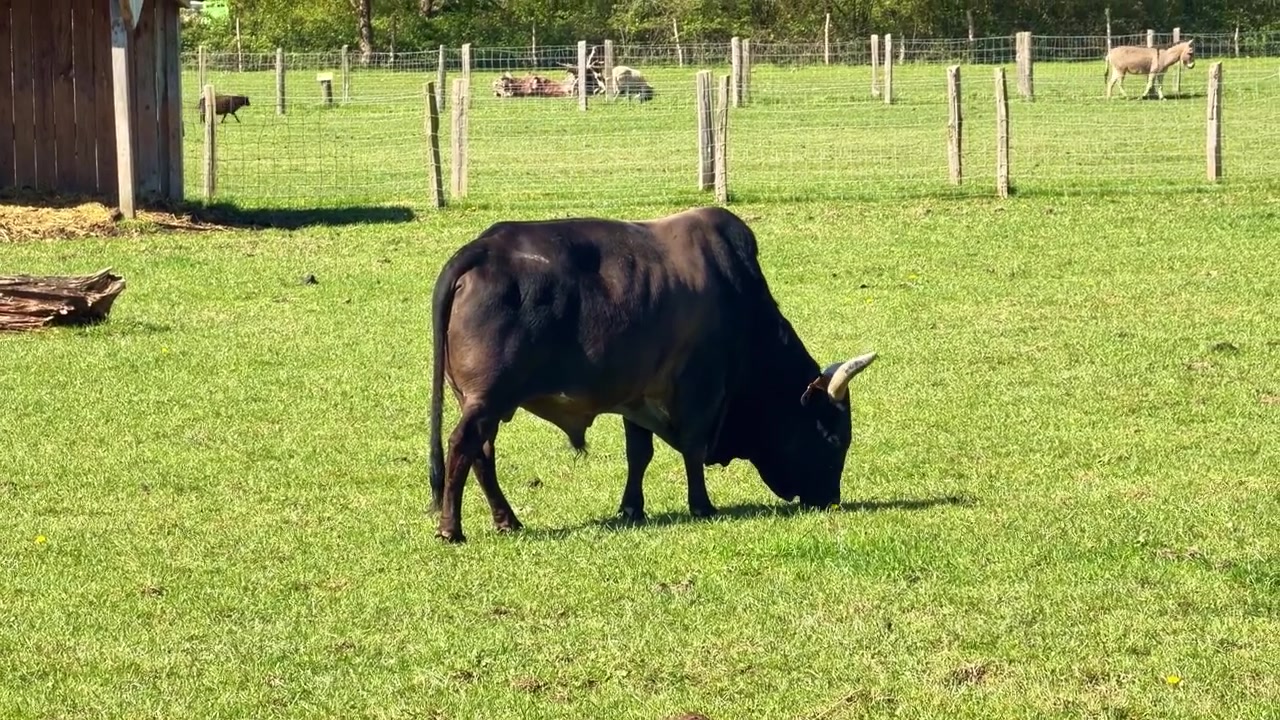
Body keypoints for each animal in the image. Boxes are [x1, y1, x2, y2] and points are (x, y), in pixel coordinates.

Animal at [426, 207, 877, 542]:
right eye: (833, 439)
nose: (830, 499)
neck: (741, 307)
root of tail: (482, 249)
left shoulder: (636, 396)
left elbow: (638, 454)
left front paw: (631, 508)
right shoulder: (699, 391)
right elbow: (693, 449)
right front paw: (702, 505)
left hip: (480, 402)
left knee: (482, 455)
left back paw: (507, 520)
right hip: (488, 400)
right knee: (462, 445)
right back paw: (452, 528)